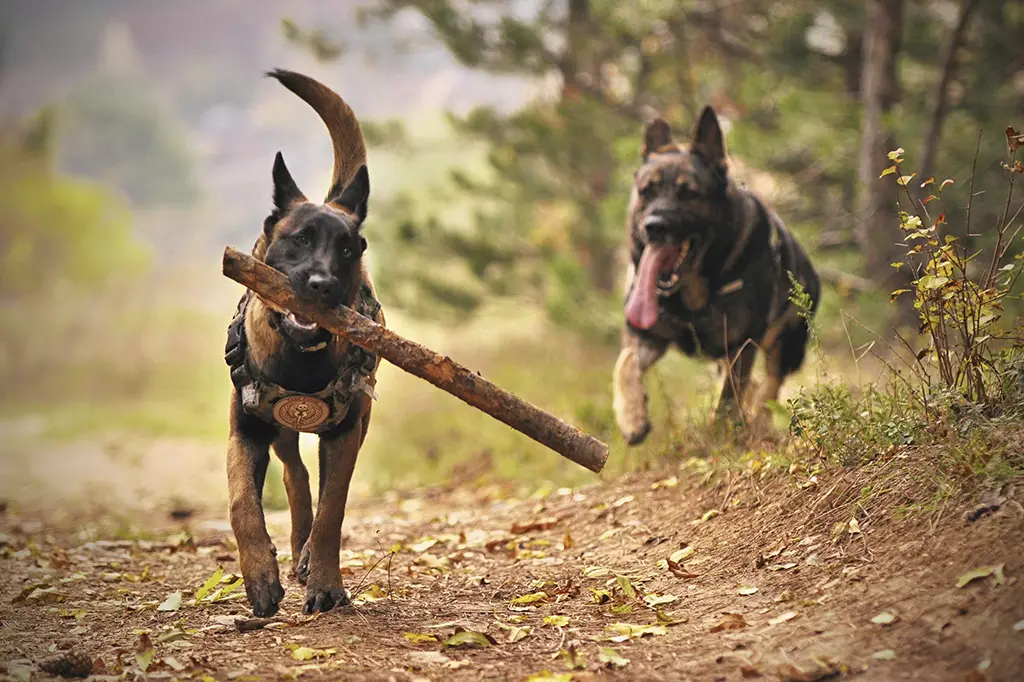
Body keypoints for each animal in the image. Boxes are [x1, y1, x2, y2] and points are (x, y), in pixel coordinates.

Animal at [224, 70, 385, 614]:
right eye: (299, 239)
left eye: (348, 248)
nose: (323, 286)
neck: (300, 359)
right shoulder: (246, 431)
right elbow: (241, 503)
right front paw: (259, 576)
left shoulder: (346, 434)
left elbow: (333, 511)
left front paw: (327, 583)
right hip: (279, 432)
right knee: (294, 476)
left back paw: (309, 558)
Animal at [610, 104, 819, 446]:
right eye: (646, 192)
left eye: (688, 193)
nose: (654, 227)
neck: (691, 293)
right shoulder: (645, 336)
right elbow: (624, 364)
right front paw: (632, 417)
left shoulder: (741, 346)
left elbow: (727, 400)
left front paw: (721, 436)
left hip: (785, 347)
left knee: (768, 388)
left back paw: (757, 426)